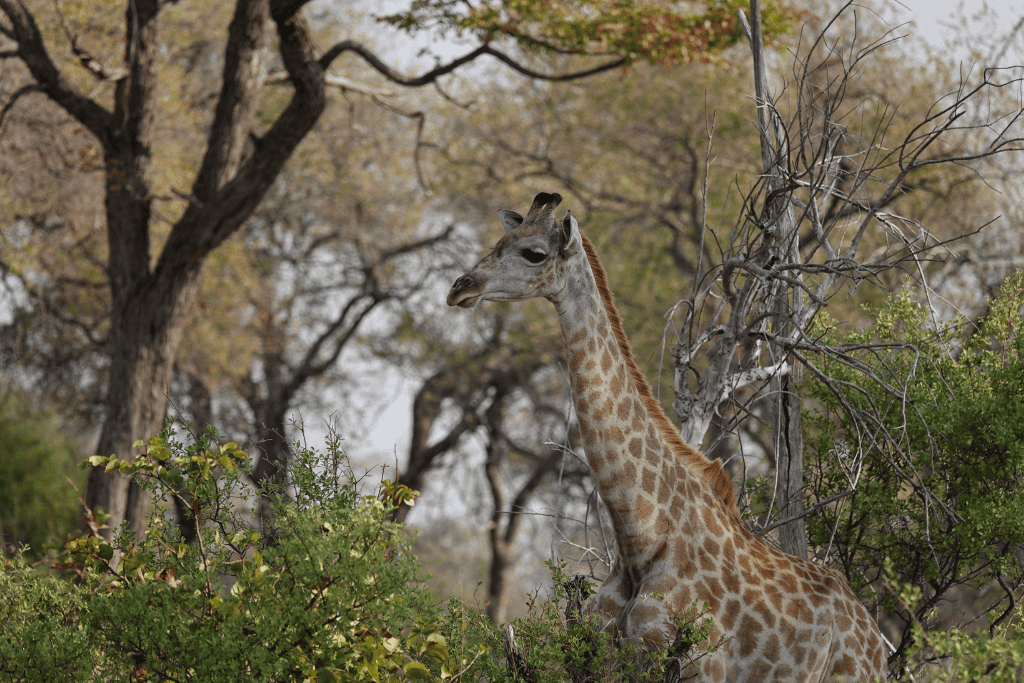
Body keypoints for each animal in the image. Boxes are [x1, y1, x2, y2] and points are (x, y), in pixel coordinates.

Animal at [447, 192, 888, 682]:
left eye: (534, 254)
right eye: (500, 241)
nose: (460, 287)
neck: (640, 536)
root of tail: (878, 643)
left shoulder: (701, 666)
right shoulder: (604, 656)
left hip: (850, 676)